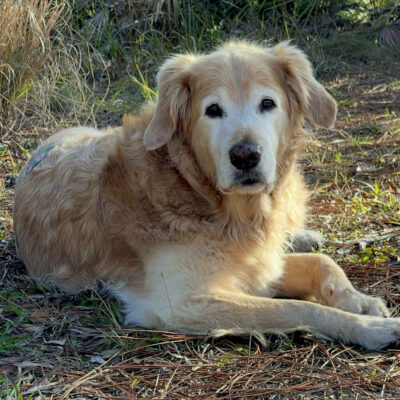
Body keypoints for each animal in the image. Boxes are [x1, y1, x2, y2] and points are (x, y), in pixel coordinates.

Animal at [14, 41, 400, 350]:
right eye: (213, 110)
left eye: (267, 104)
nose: (245, 156)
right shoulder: (183, 300)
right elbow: (299, 307)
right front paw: (369, 327)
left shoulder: (258, 263)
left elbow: (323, 263)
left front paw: (360, 301)